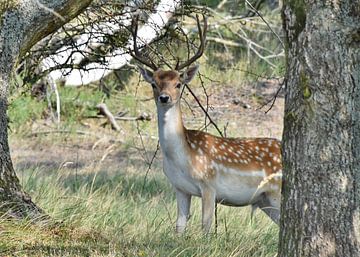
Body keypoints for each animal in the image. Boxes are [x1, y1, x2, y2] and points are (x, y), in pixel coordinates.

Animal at [131, 15, 282, 233]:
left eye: (179, 84)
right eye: (154, 84)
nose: (164, 97)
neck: (182, 157)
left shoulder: (209, 184)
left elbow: (206, 226)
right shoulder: (180, 188)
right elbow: (179, 227)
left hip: (277, 192)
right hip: (265, 200)